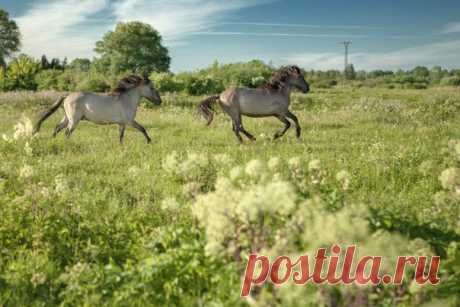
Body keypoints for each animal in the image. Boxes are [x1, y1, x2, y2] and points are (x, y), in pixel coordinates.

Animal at [33, 75, 161, 144]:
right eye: (151, 87)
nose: (160, 101)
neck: (126, 100)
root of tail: (67, 96)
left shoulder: (121, 124)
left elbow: (121, 136)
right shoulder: (128, 122)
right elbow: (142, 129)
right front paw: (149, 141)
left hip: (66, 118)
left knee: (57, 128)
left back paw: (53, 141)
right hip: (74, 120)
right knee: (67, 132)